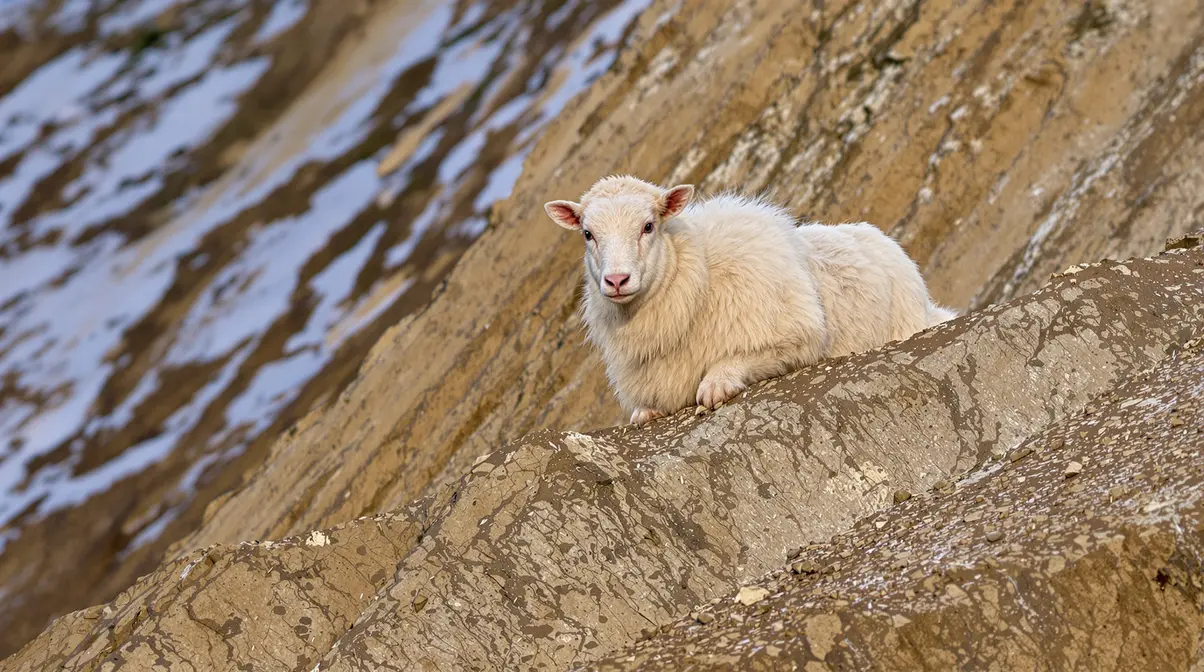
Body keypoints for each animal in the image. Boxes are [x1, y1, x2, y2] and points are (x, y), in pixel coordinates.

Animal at [544, 175, 957, 425]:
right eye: (587, 234)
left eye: (648, 226)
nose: (616, 281)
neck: (696, 274)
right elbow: (644, 412)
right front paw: (645, 415)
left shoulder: (794, 336)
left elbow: (737, 358)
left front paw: (716, 385)